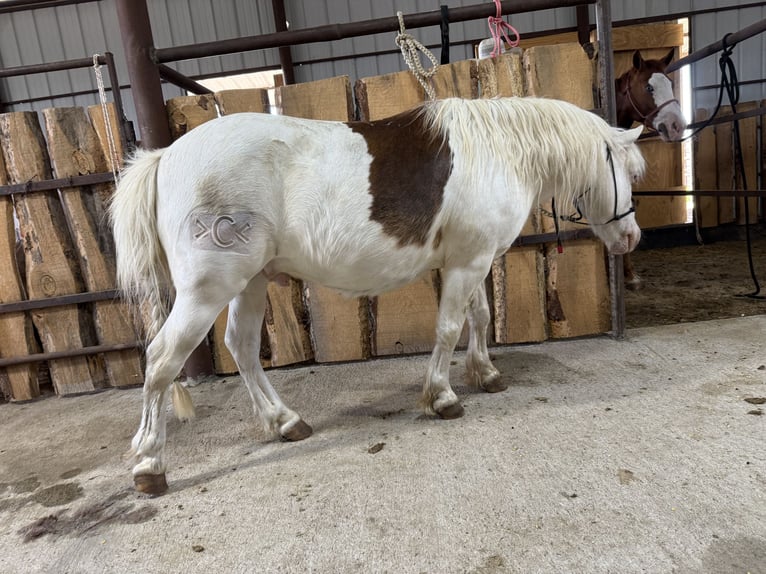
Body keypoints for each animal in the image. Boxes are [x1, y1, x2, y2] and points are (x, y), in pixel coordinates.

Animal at [110, 96, 645, 495]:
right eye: (630, 173)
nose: (631, 238)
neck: (498, 152)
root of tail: (165, 157)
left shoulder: (470, 260)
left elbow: (480, 316)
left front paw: (486, 374)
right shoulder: (468, 263)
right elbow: (450, 327)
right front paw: (442, 396)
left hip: (252, 281)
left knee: (241, 347)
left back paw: (285, 421)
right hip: (209, 287)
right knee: (163, 360)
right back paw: (151, 465)